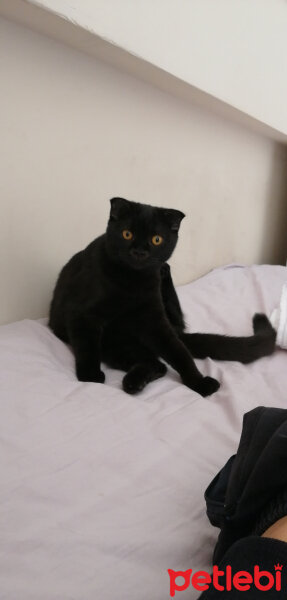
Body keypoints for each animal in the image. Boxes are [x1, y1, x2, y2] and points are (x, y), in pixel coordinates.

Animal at [49, 198, 276, 398]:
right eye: (127, 234)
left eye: (156, 239)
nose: (139, 252)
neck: (133, 282)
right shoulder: (81, 314)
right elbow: (86, 346)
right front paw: (90, 376)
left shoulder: (155, 321)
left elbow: (179, 352)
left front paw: (198, 382)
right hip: (113, 344)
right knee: (154, 363)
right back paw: (134, 382)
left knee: (159, 363)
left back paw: (134, 383)